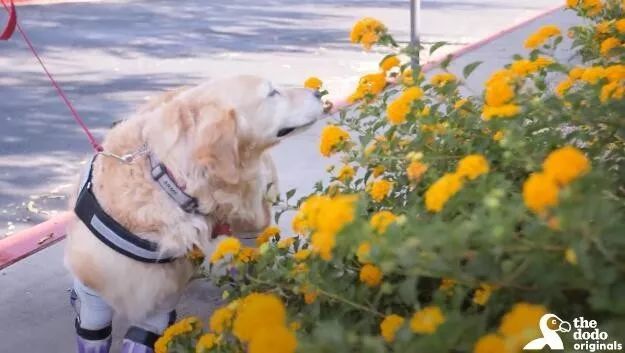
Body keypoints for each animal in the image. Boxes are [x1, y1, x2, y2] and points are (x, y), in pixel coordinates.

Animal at [64, 75, 322, 350]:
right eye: (272, 92)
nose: (318, 93)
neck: (167, 182)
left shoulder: (159, 304)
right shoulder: (94, 305)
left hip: (254, 220)